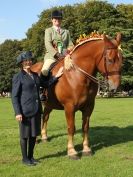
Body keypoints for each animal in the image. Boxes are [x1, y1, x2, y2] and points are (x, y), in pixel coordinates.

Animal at [31, 32, 122, 160]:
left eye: (122, 59)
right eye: (110, 60)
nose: (116, 87)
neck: (78, 74)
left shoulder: (89, 107)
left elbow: (85, 127)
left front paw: (86, 149)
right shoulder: (69, 107)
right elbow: (71, 128)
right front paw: (72, 151)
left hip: (49, 105)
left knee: (45, 118)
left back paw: (44, 137)